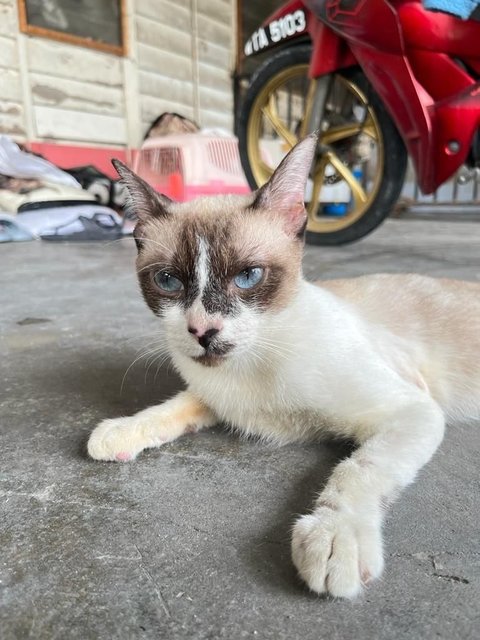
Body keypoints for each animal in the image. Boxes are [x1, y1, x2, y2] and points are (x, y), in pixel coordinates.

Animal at [87, 136, 480, 600]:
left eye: (248, 276)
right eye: (168, 281)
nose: (202, 331)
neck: (251, 366)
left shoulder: (412, 410)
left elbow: (358, 469)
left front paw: (336, 536)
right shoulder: (214, 396)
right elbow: (173, 407)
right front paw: (121, 431)